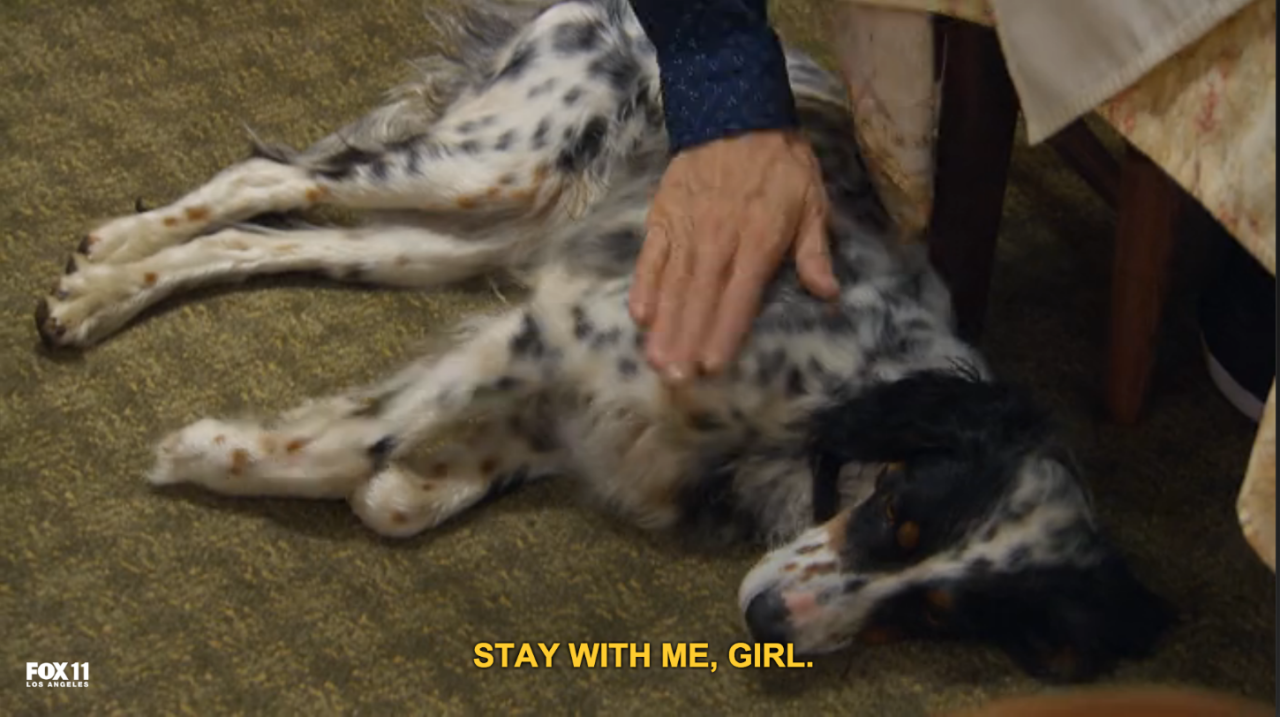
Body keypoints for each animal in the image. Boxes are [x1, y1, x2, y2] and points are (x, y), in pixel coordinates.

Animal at [34, 0, 1173, 683]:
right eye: (897, 514)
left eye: (939, 613)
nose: (771, 624)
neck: (834, 383)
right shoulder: (558, 327)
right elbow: (357, 434)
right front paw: (202, 455)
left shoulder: (571, 387)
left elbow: (400, 486)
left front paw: (409, 482)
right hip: (488, 166)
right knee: (270, 178)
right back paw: (103, 273)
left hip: (446, 241)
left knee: (270, 233)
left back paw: (104, 284)